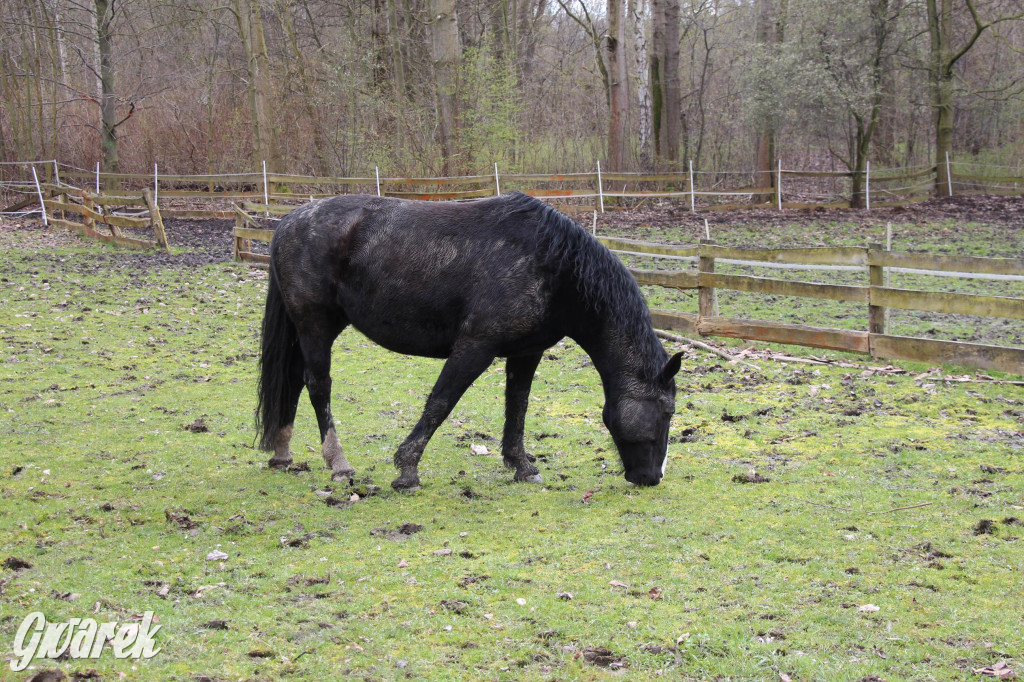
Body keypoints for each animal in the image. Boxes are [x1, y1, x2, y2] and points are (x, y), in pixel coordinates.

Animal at [260, 191, 684, 489]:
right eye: (666, 412)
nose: (651, 478)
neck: (553, 266)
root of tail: (287, 223)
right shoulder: (475, 347)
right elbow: (441, 402)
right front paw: (407, 469)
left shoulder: (526, 352)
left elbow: (517, 407)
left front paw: (522, 466)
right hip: (316, 326)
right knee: (319, 386)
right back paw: (339, 464)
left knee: (294, 381)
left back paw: (282, 453)